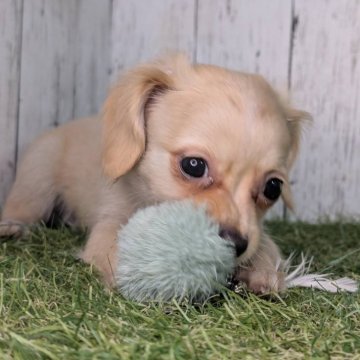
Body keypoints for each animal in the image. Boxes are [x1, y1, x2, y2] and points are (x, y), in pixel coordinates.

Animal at [0, 54, 310, 294]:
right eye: (194, 166)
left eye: (273, 188)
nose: (234, 245)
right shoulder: (110, 223)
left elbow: (267, 246)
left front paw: (265, 272)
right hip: (37, 181)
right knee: (22, 207)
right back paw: (11, 227)